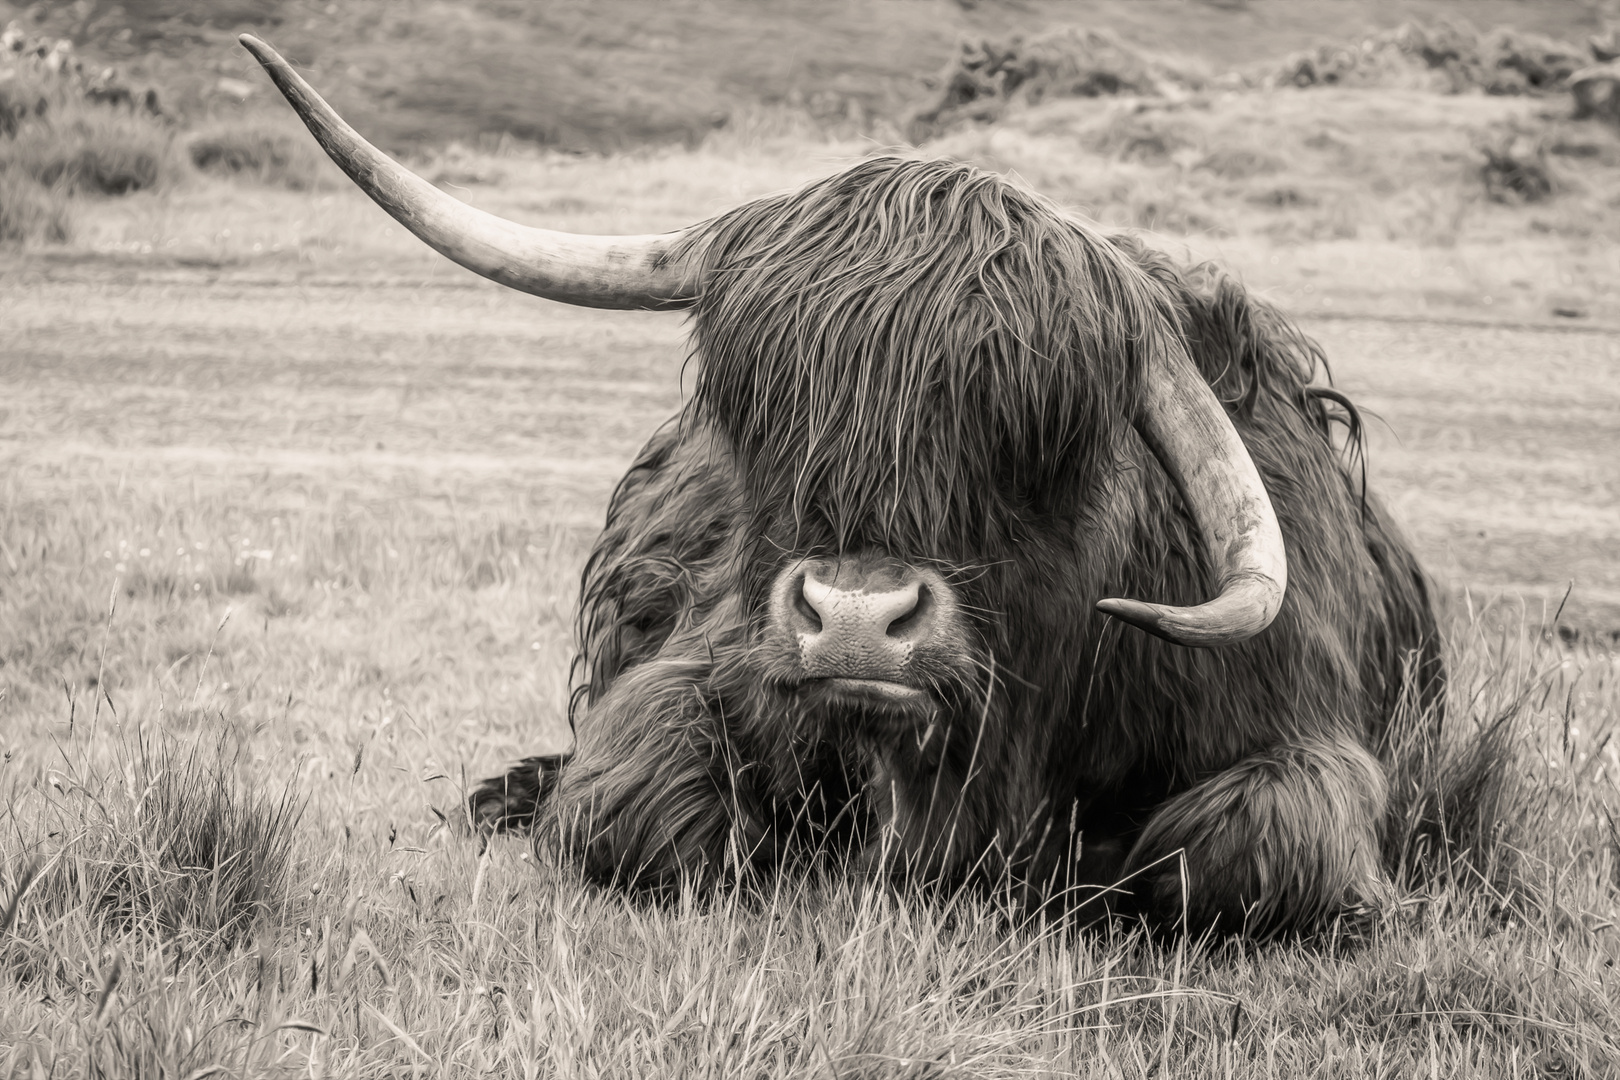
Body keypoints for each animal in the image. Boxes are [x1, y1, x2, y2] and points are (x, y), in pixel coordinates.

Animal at [243, 35, 1445, 939]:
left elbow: (1250, 854)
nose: (858, 621)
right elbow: (632, 808)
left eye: (1042, 437)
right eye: (761, 404)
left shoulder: (1305, 736)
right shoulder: (696, 668)